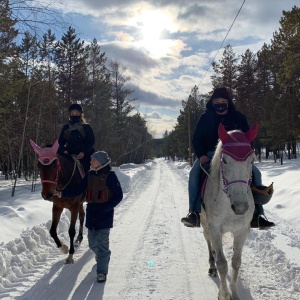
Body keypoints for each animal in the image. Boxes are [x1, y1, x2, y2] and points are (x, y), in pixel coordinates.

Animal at [199, 122, 258, 300]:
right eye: (224, 160)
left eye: (252, 160)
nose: (240, 207)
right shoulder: (215, 229)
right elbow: (222, 265)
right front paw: (224, 295)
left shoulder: (242, 231)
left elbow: (236, 262)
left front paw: (234, 293)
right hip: (205, 224)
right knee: (208, 242)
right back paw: (211, 266)